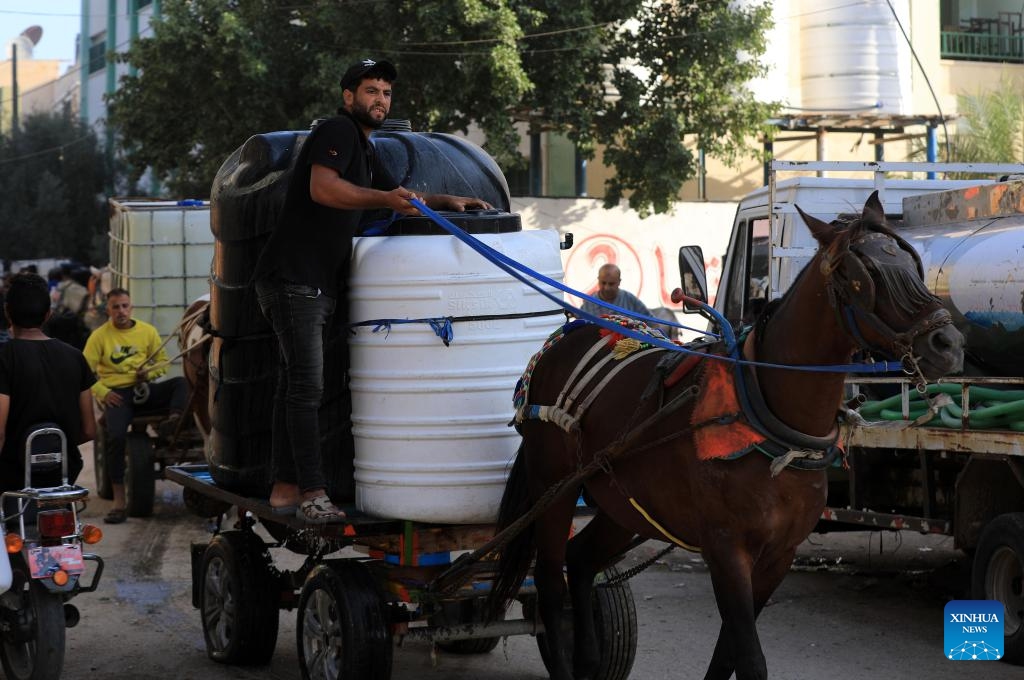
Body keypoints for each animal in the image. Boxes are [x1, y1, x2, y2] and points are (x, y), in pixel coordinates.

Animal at [487, 192, 966, 680]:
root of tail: (564, 339)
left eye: (911, 262)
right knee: (550, 580)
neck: (767, 419)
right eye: (861, 275)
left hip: (627, 503)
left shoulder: (780, 554)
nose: (948, 342)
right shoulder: (725, 548)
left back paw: (587, 656)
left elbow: (728, 653)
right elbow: (749, 658)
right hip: (555, 486)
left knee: (581, 559)